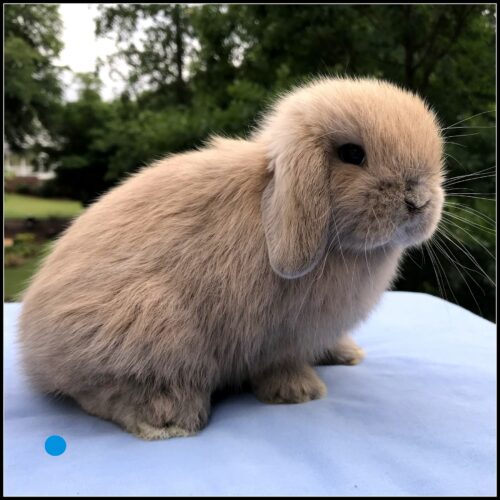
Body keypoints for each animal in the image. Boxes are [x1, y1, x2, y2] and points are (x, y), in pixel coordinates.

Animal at [17, 76, 444, 440]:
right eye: (352, 154)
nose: (418, 201)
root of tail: (32, 348)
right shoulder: (278, 336)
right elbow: (280, 363)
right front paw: (300, 392)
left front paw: (346, 354)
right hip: (150, 323)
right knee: (100, 392)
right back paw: (170, 418)